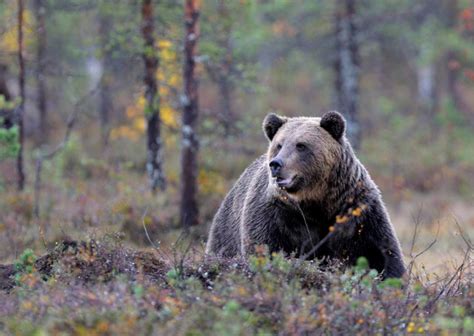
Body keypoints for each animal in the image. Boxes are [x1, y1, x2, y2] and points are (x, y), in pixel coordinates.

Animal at [206, 111, 406, 278]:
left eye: (301, 145)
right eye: (279, 145)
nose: (276, 164)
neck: (315, 202)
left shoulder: (356, 210)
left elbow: (380, 253)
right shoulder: (275, 214)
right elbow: (264, 247)